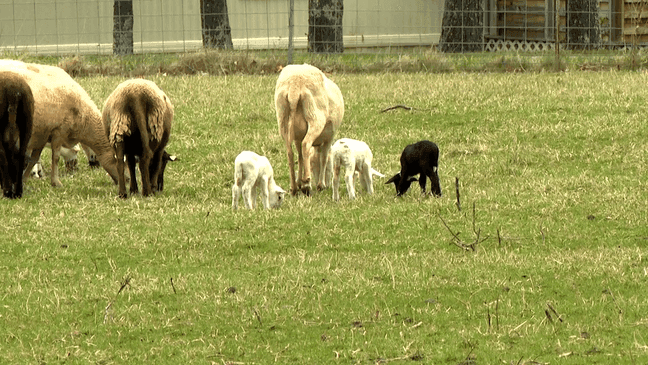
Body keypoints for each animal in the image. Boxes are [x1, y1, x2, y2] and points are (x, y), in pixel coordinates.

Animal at [0, 70, 33, 198]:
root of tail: (13, 89)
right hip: (27, 120)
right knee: (21, 154)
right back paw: (18, 191)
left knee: (3, 155)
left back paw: (8, 191)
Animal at [274, 64, 344, 198]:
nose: (327, 184)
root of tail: (294, 86)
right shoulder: (329, 137)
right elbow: (324, 157)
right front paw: (321, 185)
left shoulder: (297, 137)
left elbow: (301, 157)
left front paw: (299, 182)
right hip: (315, 117)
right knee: (306, 144)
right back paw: (307, 185)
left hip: (283, 120)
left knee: (290, 153)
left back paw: (294, 188)